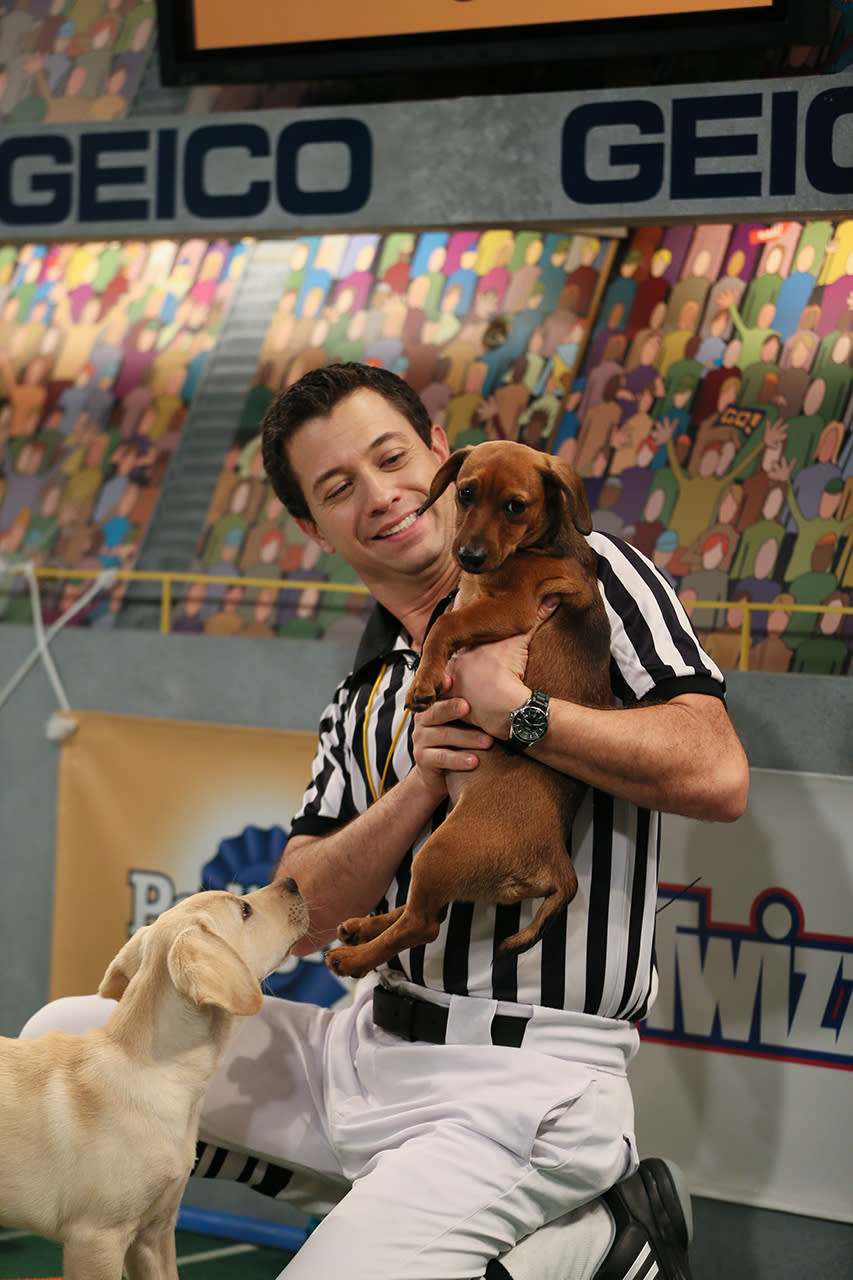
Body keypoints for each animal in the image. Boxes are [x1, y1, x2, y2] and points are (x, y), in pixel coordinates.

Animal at [325, 440, 612, 977]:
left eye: (515, 506)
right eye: (464, 494)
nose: (469, 556)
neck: (532, 548)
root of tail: (557, 862)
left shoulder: (511, 608)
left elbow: (445, 625)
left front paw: (423, 682)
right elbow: (447, 619)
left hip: (440, 851)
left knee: (422, 924)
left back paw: (353, 957)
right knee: (417, 913)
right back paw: (361, 928)